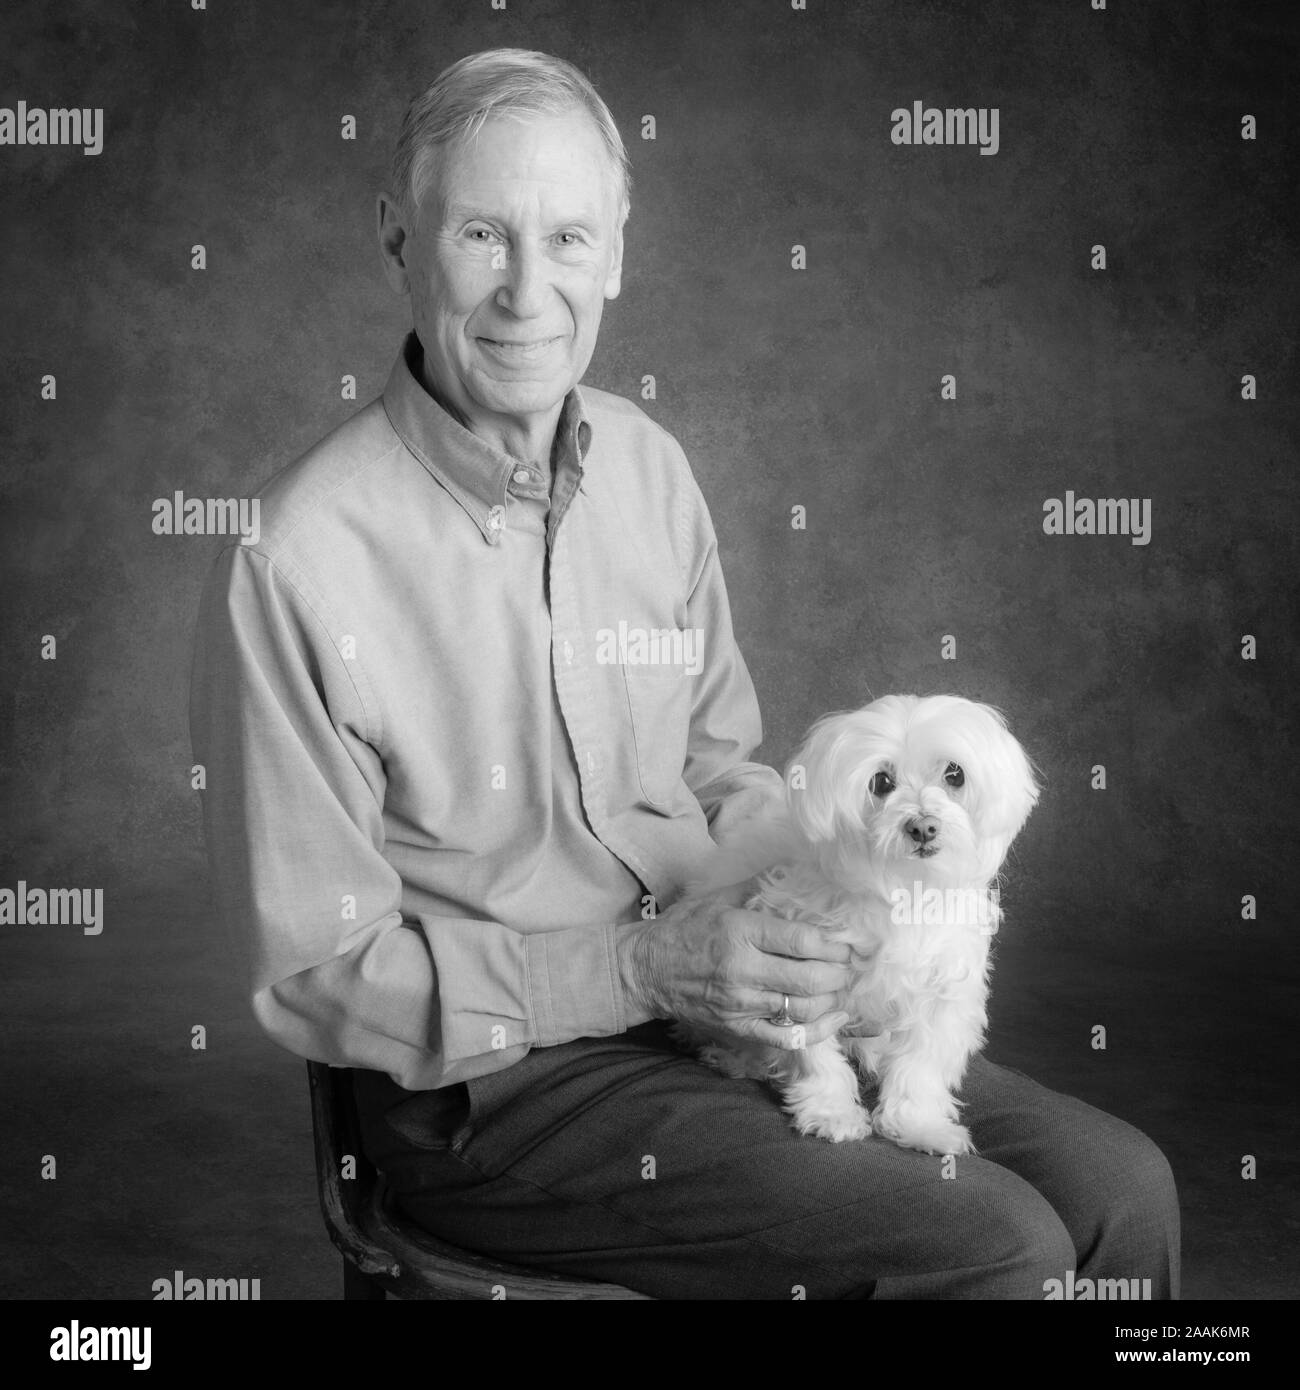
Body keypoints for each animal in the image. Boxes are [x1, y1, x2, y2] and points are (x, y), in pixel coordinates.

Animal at [675, 689, 1040, 1156]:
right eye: (881, 782)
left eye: (954, 774)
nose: (923, 826)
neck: (903, 887)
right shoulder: (801, 979)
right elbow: (813, 1056)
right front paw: (831, 1111)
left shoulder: (942, 990)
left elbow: (920, 1068)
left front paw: (919, 1124)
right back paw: (734, 1058)